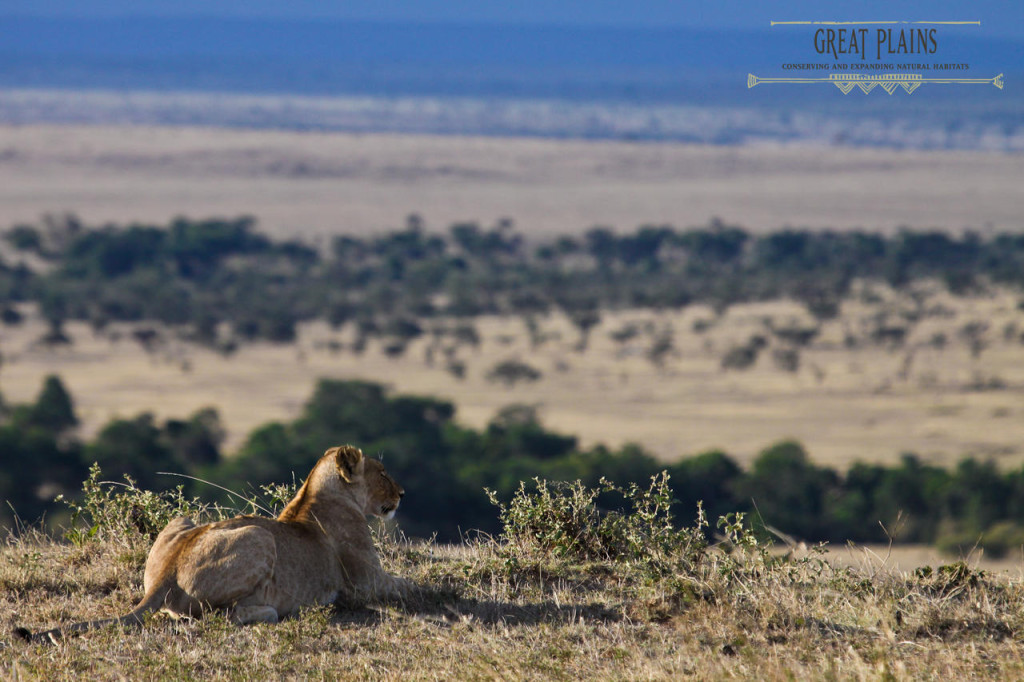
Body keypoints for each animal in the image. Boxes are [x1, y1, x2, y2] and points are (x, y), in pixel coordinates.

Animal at [14, 444, 409, 638]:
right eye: (383, 473)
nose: (403, 494)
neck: (318, 492)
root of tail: (166, 573)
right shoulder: (367, 583)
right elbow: (413, 586)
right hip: (259, 535)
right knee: (220, 615)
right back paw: (272, 611)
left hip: (184, 521)